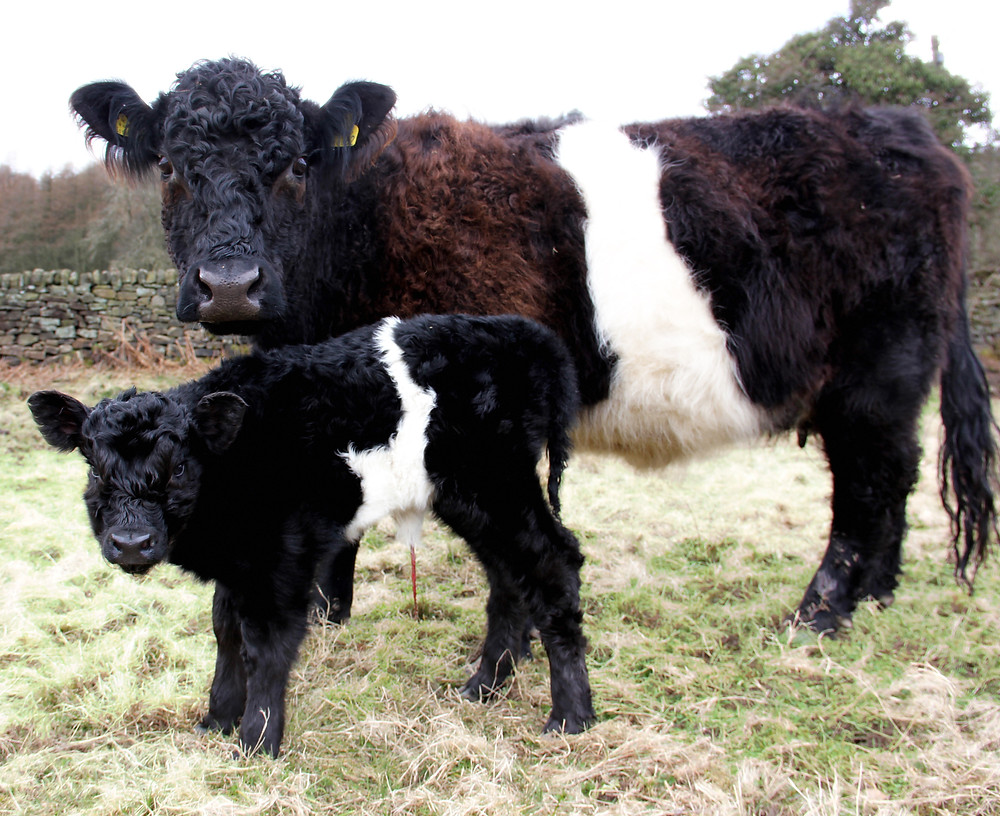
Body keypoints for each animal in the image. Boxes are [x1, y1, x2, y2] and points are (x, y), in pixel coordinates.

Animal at [29, 314, 593, 757]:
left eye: (180, 469)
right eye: (95, 468)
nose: (131, 543)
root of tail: (525, 332)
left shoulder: (282, 558)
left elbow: (265, 643)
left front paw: (256, 742)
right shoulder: (242, 561)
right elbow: (225, 631)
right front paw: (217, 719)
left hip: (498, 486)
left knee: (554, 565)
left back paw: (571, 716)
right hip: (476, 502)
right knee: (509, 578)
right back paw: (485, 686)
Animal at [70, 57, 999, 635]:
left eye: (295, 165)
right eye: (172, 168)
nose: (231, 284)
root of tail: (898, 130)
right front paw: (331, 619)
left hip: (877, 375)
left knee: (870, 490)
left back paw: (818, 617)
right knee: (891, 486)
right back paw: (873, 603)